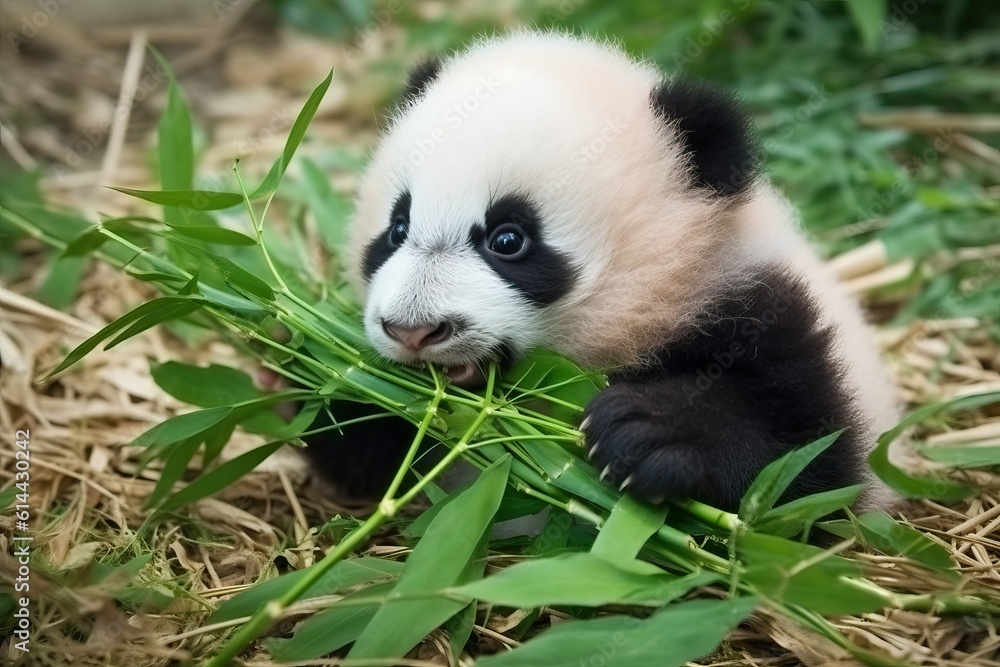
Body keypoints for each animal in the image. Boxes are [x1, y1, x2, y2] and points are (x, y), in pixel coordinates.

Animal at [315, 32, 900, 512]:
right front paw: (341, 379)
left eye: (509, 240)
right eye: (397, 229)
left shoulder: (765, 307)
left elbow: (810, 471)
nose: (412, 330)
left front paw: (648, 431)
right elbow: (348, 445)